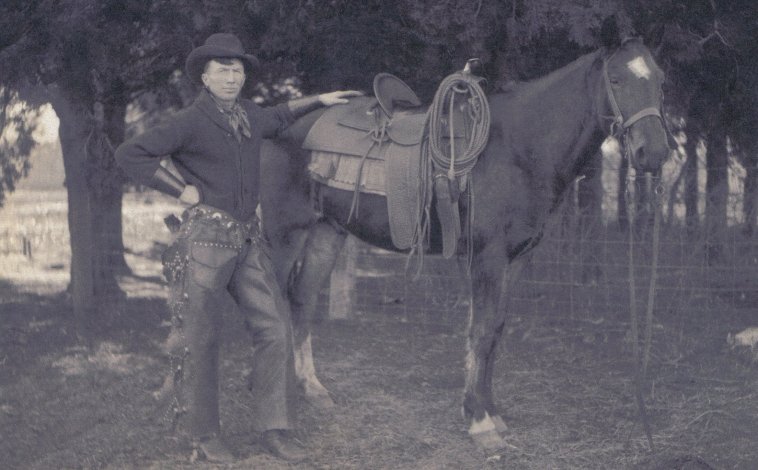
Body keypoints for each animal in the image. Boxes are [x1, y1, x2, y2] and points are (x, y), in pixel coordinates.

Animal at [262, 36, 676, 448]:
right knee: (275, 303)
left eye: (660, 81)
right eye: (617, 80)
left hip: (325, 231)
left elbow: (494, 332)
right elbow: (480, 332)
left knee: (301, 299)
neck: (518, 147)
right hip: (284, 233)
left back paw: (313, 389)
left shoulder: (515, 260)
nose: (653, 153)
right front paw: (480, 423)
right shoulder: (487, 257)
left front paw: (490, 412)